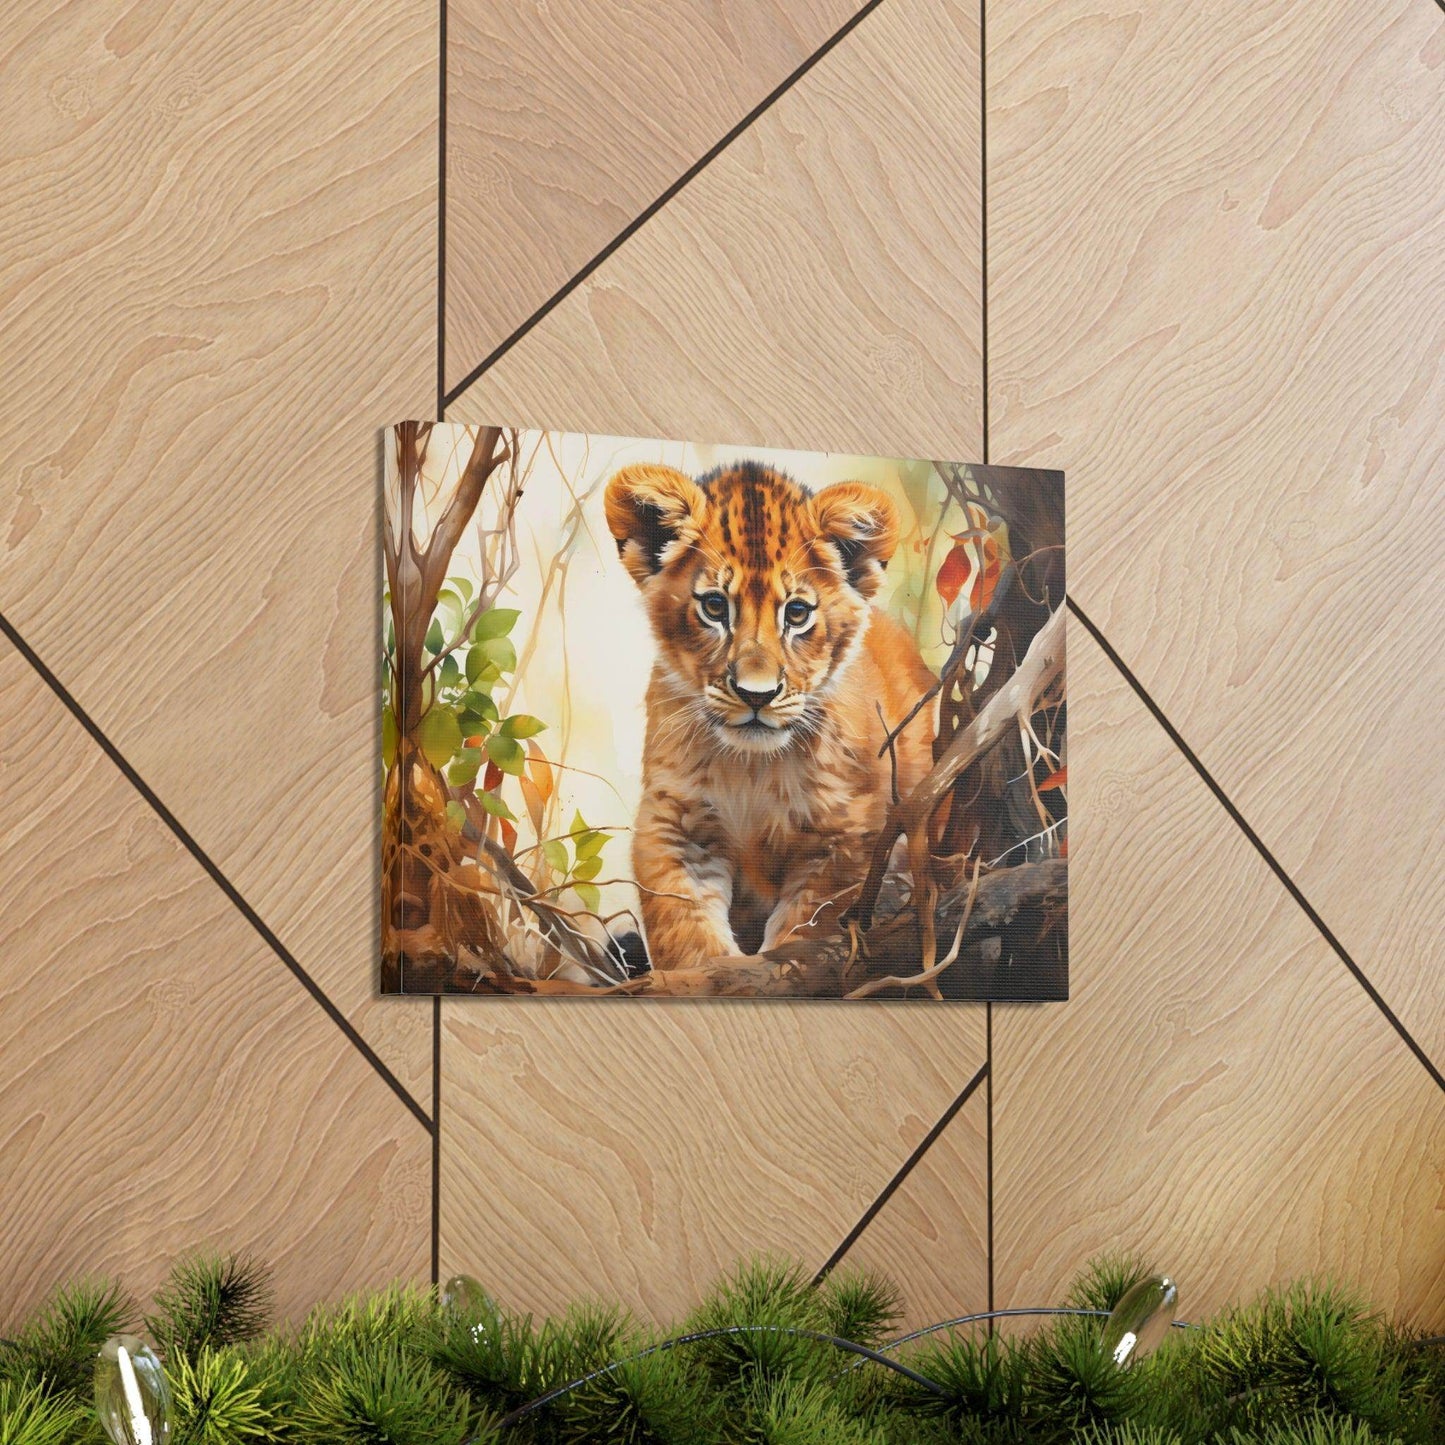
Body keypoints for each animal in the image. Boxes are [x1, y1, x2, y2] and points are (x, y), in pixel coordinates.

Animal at [604, 460, 938, 968]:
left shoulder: (845, 836)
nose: (755, 695)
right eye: (714, 606)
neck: (751, 769)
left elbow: (807, 928)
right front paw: (711, 972)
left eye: (797, 613)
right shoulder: (675, 824)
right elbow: (684, 930)